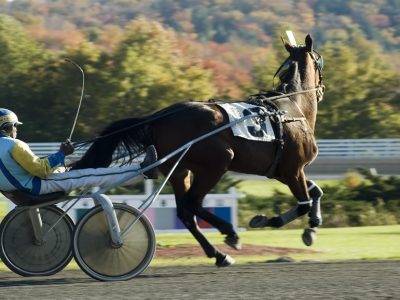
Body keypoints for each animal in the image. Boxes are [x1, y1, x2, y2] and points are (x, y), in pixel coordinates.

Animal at [73, 34, 326, 266]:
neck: (292, 107)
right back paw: (230, 233)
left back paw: (219, 254)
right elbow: (303, 203)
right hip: (216, 163)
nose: (321, 89)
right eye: (319, 61)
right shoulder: (293, 170)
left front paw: (312, 228)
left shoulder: (281, 172)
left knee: (185, 212)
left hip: (179, 170)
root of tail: (160, 117)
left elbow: (316, 192)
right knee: (193, 203)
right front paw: (267, 221)